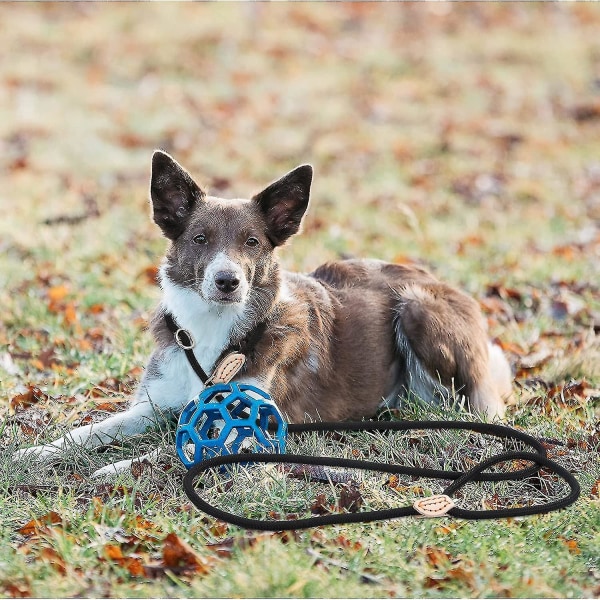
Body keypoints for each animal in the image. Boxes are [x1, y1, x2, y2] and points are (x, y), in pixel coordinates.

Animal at [14, 152, 510, 476]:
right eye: (200, 239)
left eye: (251, 242)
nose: (227, 281)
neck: (215, 327)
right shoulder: (155, 401)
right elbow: (93, 430)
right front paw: (41, 452)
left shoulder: (258, 427)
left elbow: (185, 449)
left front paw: (116, 468)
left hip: (417, 307)